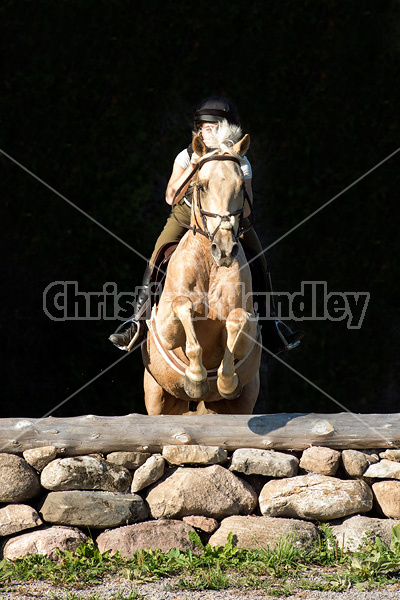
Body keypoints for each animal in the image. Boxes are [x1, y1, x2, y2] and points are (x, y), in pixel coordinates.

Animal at [142, 132, 260, 412]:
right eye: (202, 186)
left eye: (241, 187)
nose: (225, 249)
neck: (209, 262)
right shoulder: (166, 327)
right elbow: (183, 306)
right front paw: (196, 379)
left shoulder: (249, 329)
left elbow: (236, 320)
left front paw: (226, 382)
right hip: (157, 395)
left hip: (239, 402)